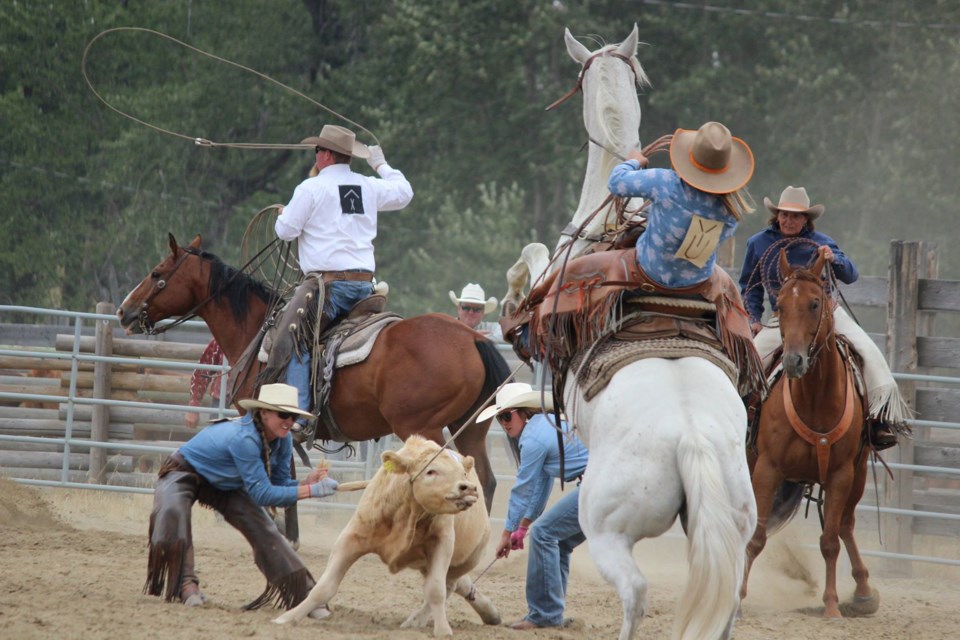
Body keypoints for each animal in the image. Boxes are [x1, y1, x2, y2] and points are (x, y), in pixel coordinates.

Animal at [117, 232, 512, 512]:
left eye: (156, 273)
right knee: (484, 481)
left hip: (422, 426)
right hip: (472, 426)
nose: (124, 310)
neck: (256, 329)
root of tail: (473, 337)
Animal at [502, 26, 756, 640]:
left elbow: (532, 256)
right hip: (733, 525)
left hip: (607, 527)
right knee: (726, 604)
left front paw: (512, 295)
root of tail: (692, 441)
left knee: (635, 592)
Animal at [744, 251, 876, 620]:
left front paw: (831, 605)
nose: (793, 361)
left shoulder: (841, 474)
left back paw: (863, 592)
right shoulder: (767, 469)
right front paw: (737, 597)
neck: (815, 401)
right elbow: (756, 537)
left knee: (845, 525)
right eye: (779, 306)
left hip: (859, 473)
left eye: (815, 303)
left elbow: (829, 542)